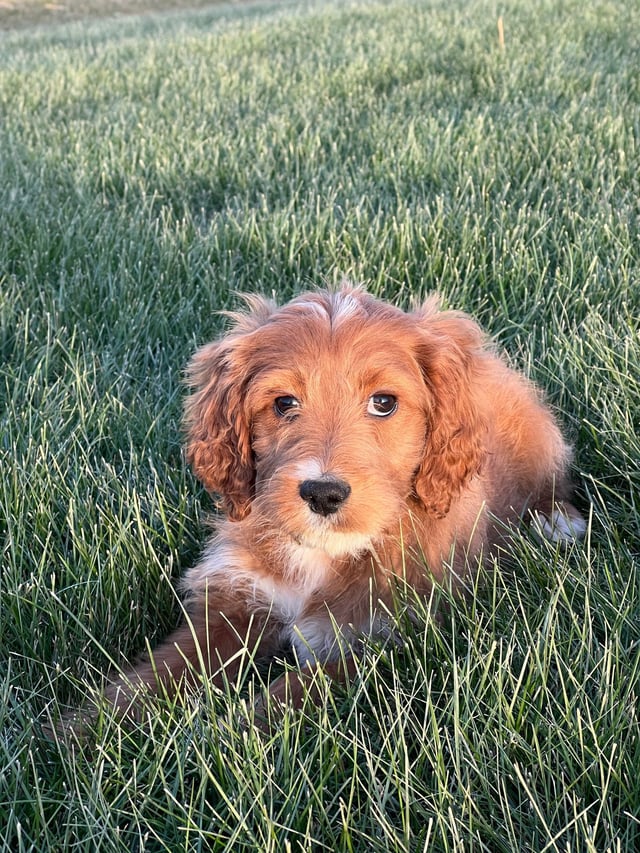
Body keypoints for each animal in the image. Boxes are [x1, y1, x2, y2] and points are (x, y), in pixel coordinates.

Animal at [89, 286, 584, 724]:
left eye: (383, 402)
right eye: (283, 403)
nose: (322, 493)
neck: (326, 550)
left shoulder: (386, 639)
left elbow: (291, 694)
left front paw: (222, 732)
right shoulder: (237, 600)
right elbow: (157, 673)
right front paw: (86, 732)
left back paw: (558, 523)